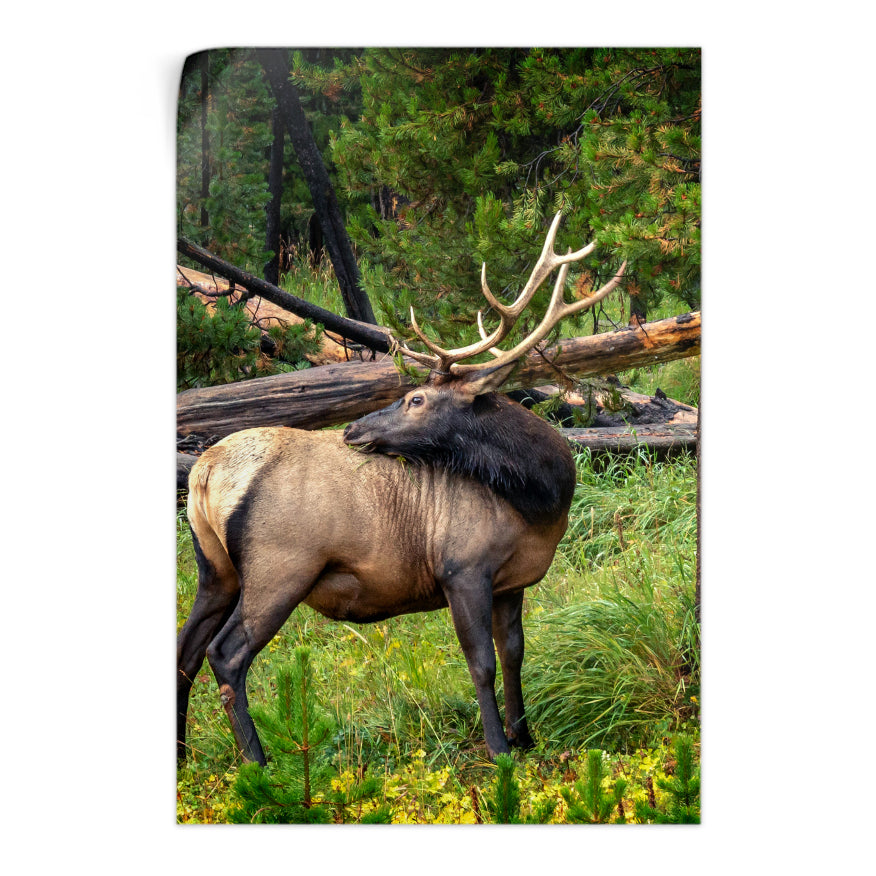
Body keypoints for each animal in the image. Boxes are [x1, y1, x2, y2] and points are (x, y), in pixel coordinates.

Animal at [177, 213, 626, 765]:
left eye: (415, 399)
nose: (352, 430)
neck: (541, 503)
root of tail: (205, 471)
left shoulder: (512, 582)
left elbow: (515, 654)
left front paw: (526, 737)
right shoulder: (462, 568)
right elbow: (482, 662)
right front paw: (499, 748)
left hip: (215, 569)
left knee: (186, 650)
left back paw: (182, 754)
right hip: (280, 567)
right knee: (226, 655)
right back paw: (258, 764)